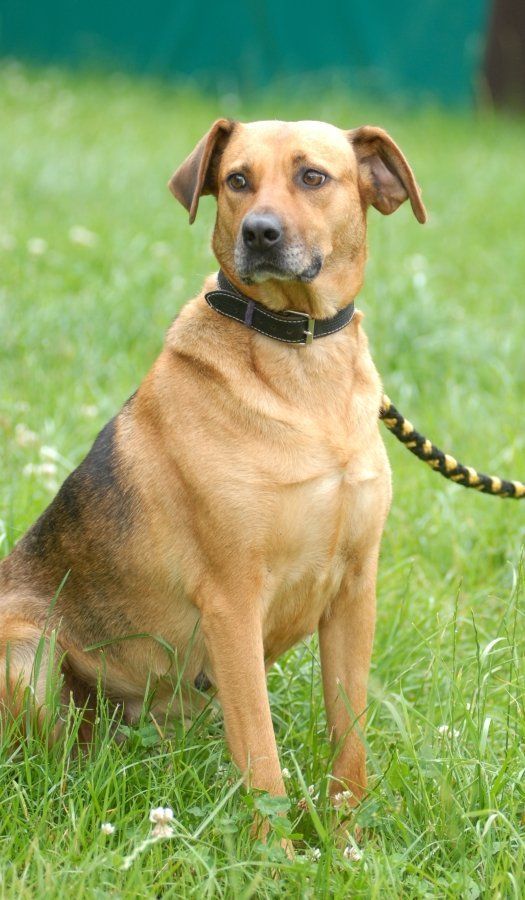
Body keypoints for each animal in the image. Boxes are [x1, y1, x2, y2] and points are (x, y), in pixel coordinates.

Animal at [0, 118, 425, 822]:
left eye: (313, 176)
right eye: (237, 180)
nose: (260, 232)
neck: (300, 356)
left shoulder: (353, 590)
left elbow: (350, 738)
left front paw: (346, 834)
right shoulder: (233, 603)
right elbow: (262, 759)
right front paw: (275, 846)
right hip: (25, 654)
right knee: (40, 763)